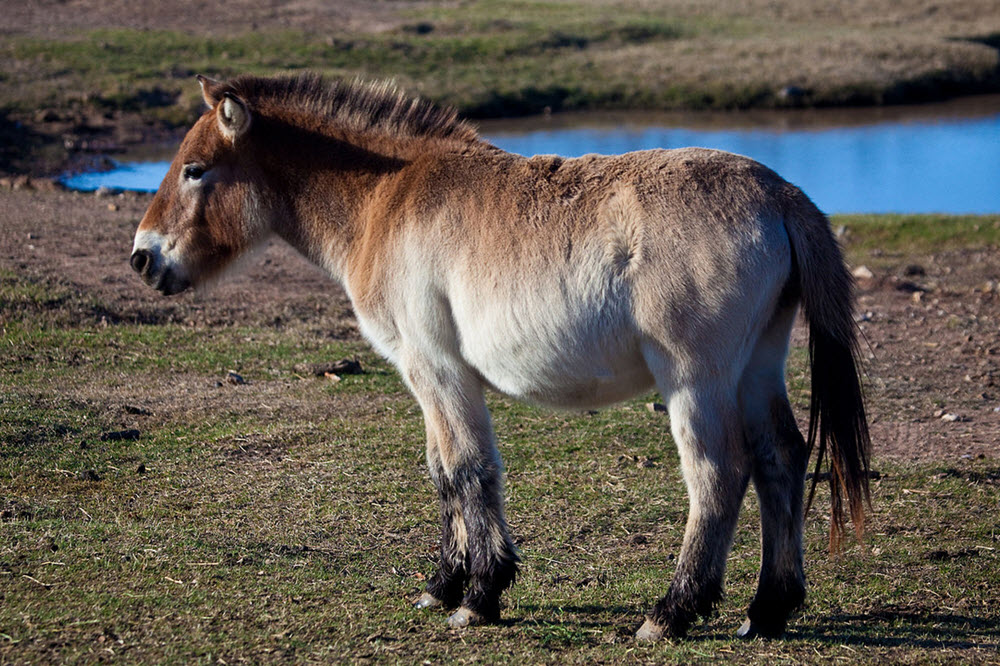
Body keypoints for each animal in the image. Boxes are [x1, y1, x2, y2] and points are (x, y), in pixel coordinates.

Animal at [131, 74, 868, 640]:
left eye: (195, 170)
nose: (142, 258)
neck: (386, 199)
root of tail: (780, 194)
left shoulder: (436, 367)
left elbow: (466, 469)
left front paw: (480, 597)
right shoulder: (425, 374)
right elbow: (441, 472)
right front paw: (442, 585)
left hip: (695, 380)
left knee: (718, 475)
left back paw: (670, 614)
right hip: (756, 366)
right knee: (780, 458)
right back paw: (767, 611)